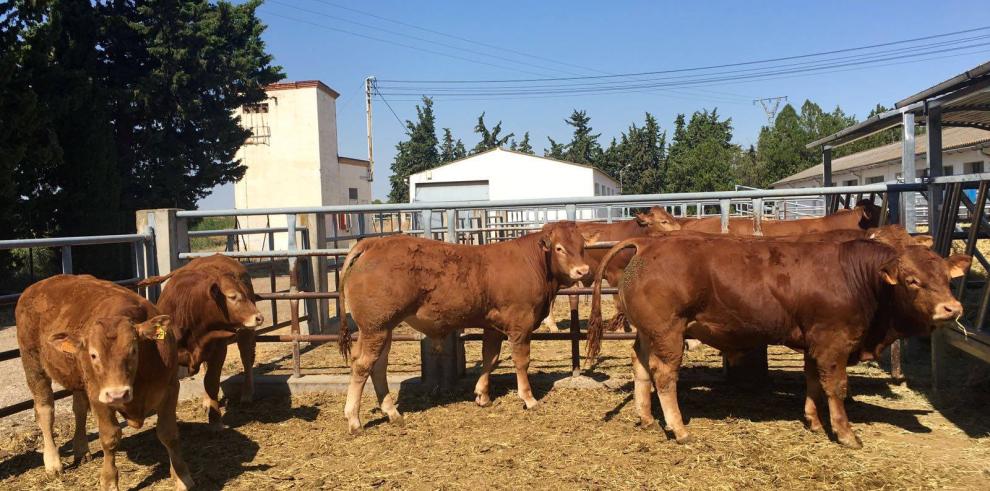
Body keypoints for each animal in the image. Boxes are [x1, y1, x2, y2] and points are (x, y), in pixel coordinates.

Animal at [17, 274, 195, 490]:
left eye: (133, 350)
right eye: (93, 354)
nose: (117, 394)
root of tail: (37, 286)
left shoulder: (170, 387)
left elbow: (169, 434)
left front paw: (181, 477)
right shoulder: (98, 395)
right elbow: (110, 438)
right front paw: (109, 481)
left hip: (78, 378)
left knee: (79, 409)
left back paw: (81, 449)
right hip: (33, 364)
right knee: (45, 411)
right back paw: (53, 463)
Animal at [146, 258, 264, 430]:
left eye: (245, 293)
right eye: (232, 296)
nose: (259, 317)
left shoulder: (218, 350)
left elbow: (211, 382)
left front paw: (215, 421)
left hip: (245, 333)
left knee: (246, 359)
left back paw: (247, 394)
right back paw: (207, 402)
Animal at [338, 223, 592, 434]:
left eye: (582, 247)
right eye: (559, 248)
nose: (583, 270)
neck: (534, 262)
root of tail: (373, 243)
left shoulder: (493, 327)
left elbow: (490, 357)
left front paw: (482, 395)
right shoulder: (520, 325)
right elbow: (521, 362)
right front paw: (529, 399)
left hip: (381, 328)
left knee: (378, 366)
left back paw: (392, 413)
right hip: (376, 327)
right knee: (363, 365)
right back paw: (354, 421)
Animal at [588, 236, 968, 448]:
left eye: (947, 278)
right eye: (912, 280)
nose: (952, 308)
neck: (858, 279)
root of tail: (648, 244)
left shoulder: (815, 343)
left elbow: (813, 382)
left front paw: (814, 421)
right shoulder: (833, 342)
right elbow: (836, 387)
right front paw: (845, 434)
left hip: (649, 332)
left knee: (639, 364)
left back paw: (646, 418)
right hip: (668, 332)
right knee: (664, 375)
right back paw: (679, 429)